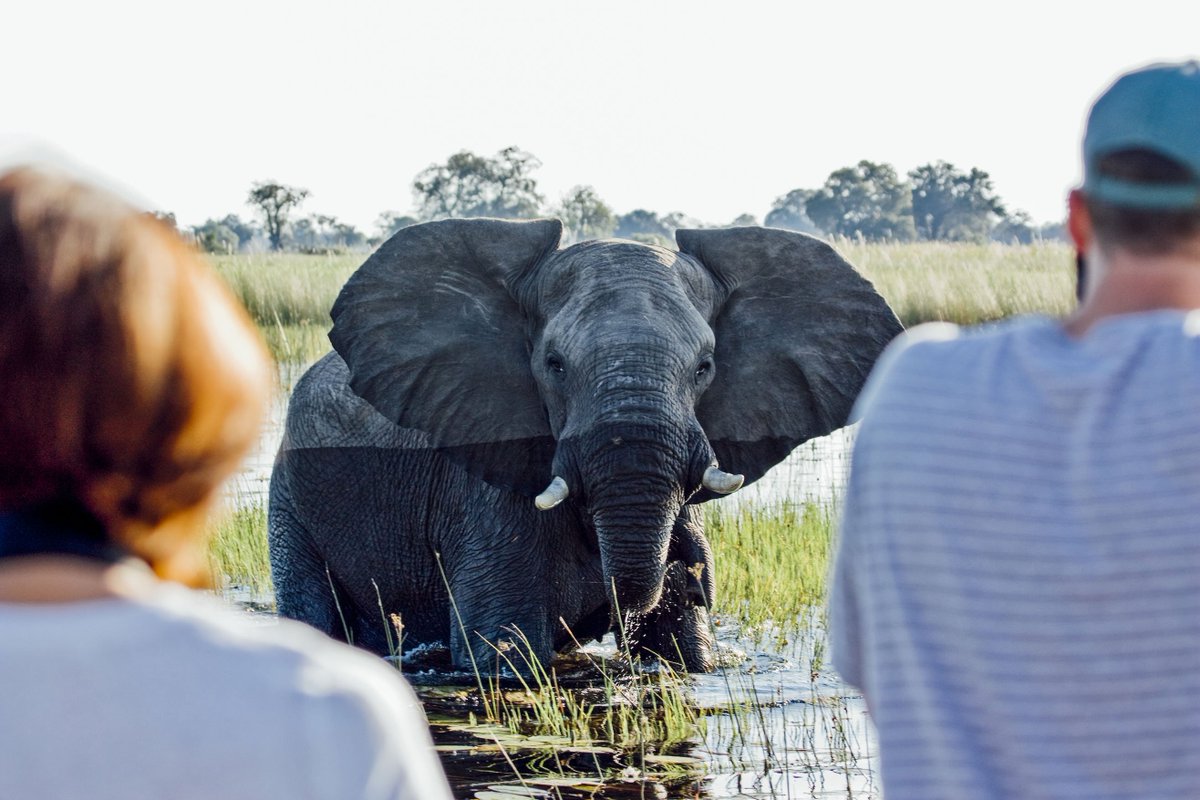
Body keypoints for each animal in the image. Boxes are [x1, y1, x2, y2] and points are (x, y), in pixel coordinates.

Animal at [267, 218, 902, 673]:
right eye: (554, 364)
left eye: (705, 366)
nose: (697, 574)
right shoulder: (480, 495)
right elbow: (506, 655)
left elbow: (684, 657)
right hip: (288, 500)